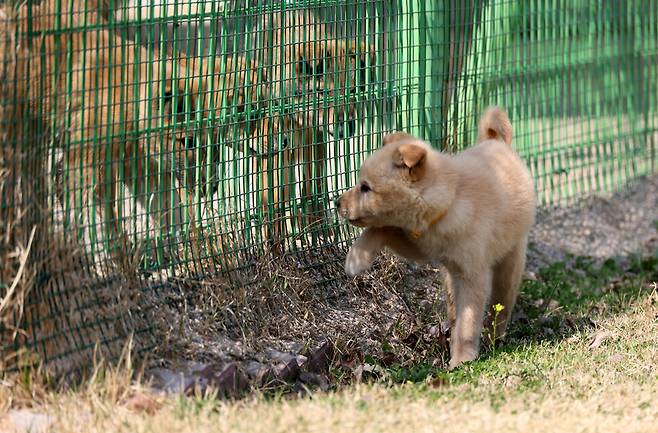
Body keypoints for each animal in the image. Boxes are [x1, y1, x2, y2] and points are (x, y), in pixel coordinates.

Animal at [338, 106, 532, 366]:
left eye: (366, 188)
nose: (337, 203)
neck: (451, 197)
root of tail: (495, 142)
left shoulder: (472, 276)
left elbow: (468, 324)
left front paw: (462, 360)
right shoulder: (420, 245)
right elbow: (381, 228)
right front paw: (357, 257)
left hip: (509, 265)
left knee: (500, 307)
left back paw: (494, 337)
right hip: (449, 276)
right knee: (453, 307)